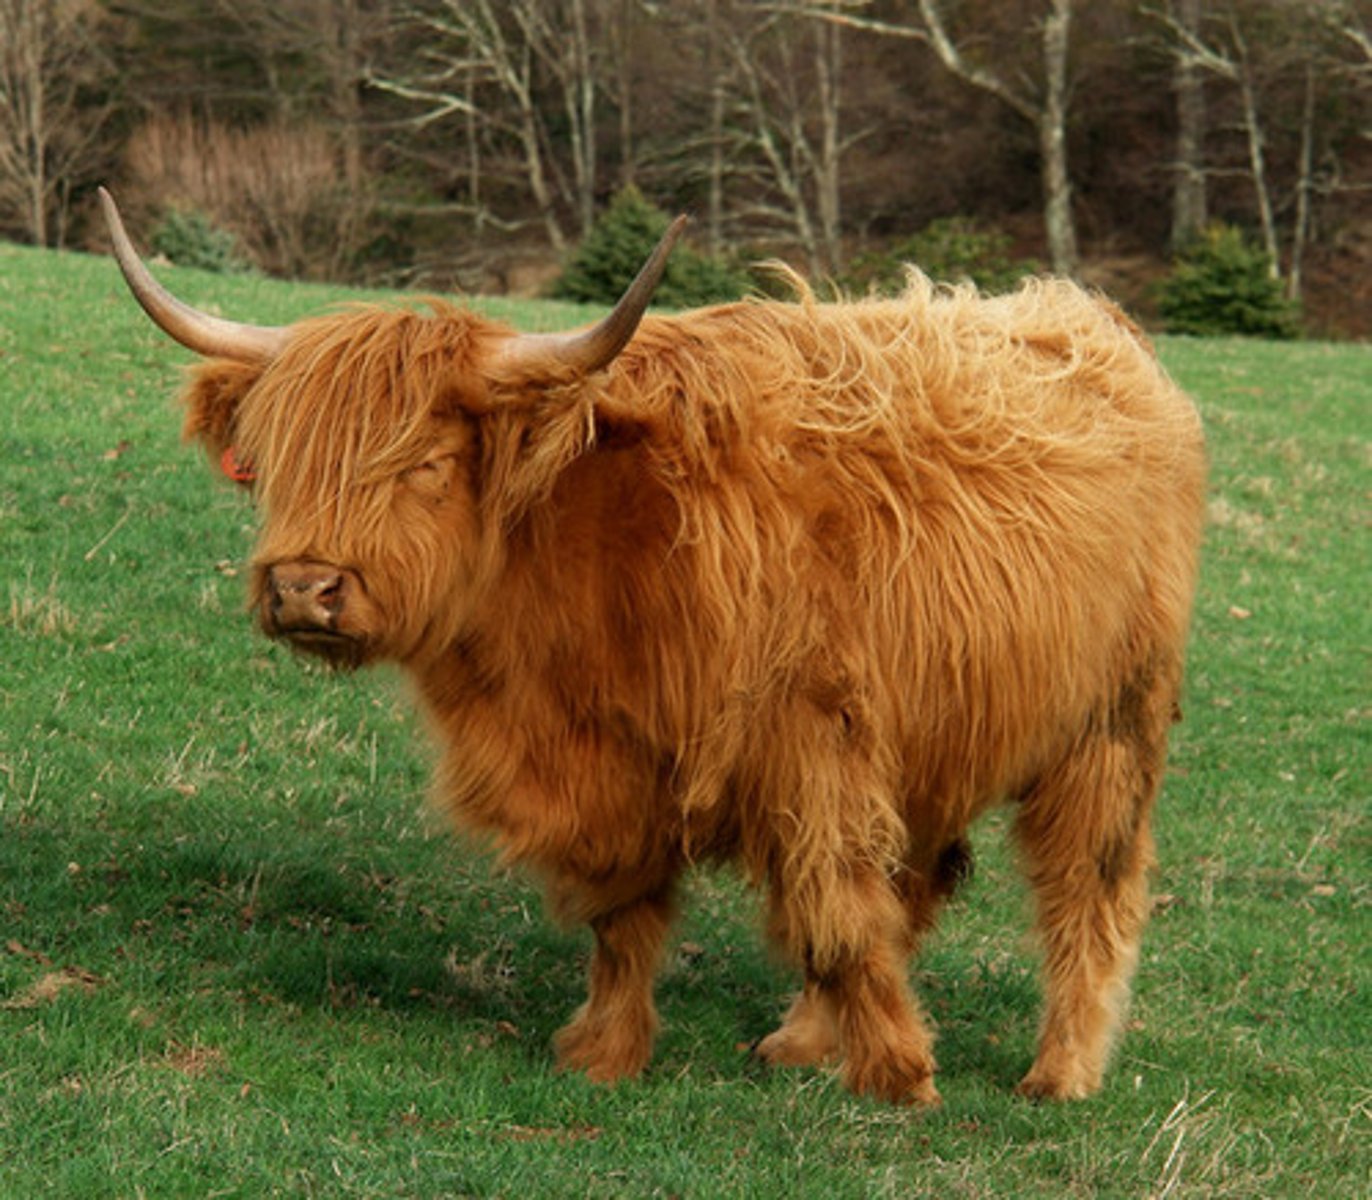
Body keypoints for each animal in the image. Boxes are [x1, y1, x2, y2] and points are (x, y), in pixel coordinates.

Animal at [99, 187, 1205, 1106]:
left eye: (424, 464)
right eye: (276, 463)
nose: (303, 587)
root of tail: (1091, 325)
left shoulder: (817, 744)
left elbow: (836, 913)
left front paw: (901, 1076)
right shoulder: (618, 769)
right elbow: (627, 919)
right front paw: (605, 1051)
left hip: (1109, 724)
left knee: (1085, 889)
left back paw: (1059, 1071)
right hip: (941, 724)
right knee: (922, 879)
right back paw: (802, 1041)